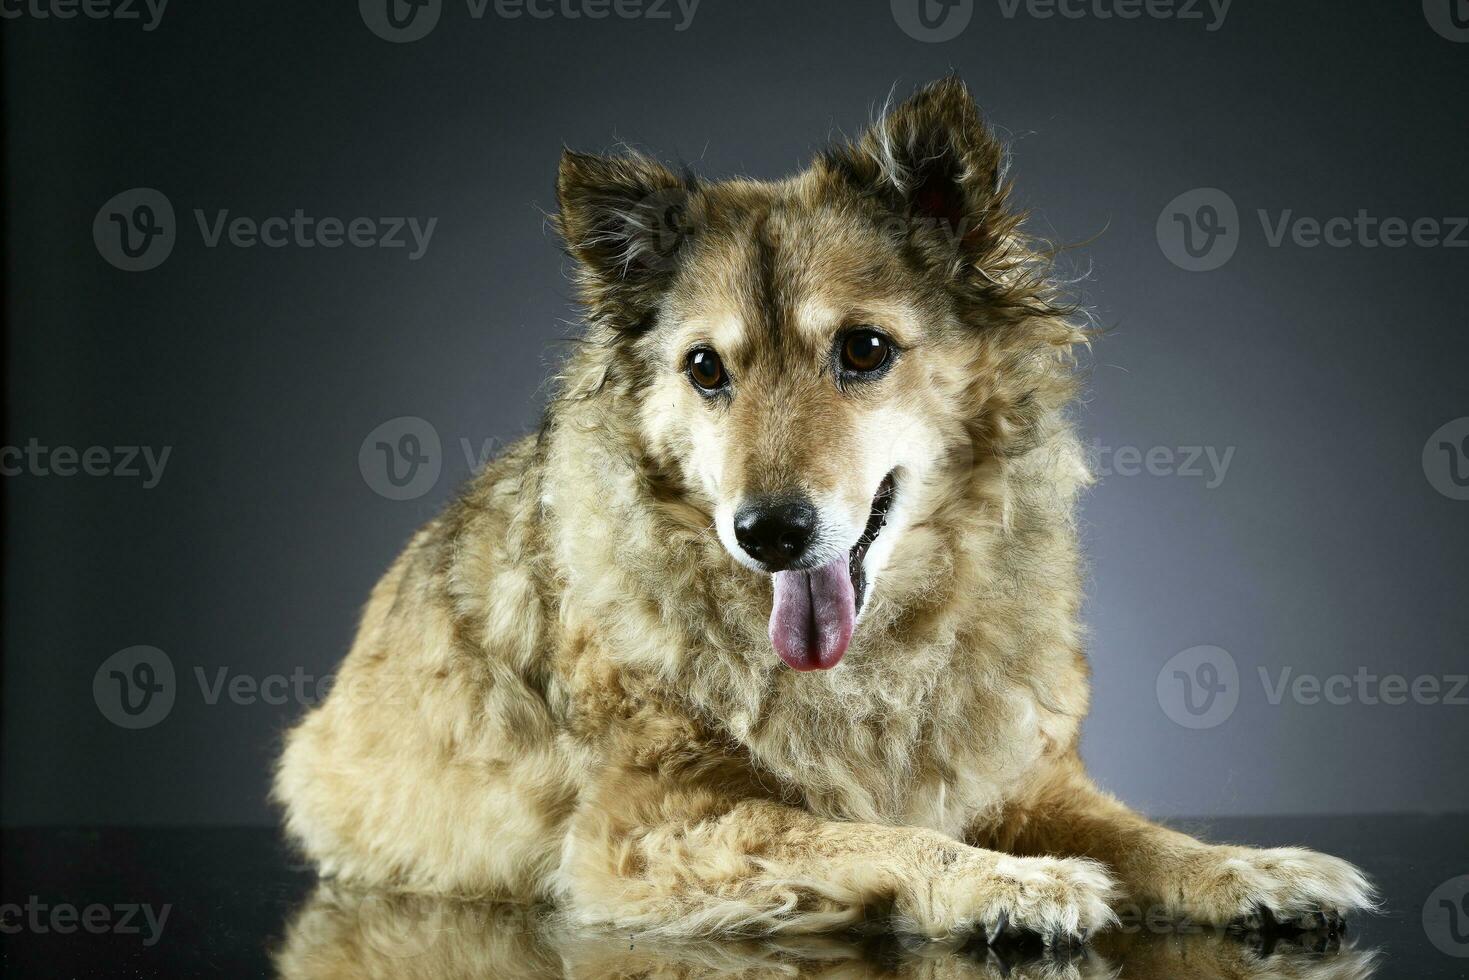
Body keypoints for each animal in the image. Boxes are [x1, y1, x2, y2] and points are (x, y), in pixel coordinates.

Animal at [276, 78, 1374, 952]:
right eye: (705, 368)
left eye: (862, 350)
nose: (769, 533)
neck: (871, 663)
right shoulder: (647, 831)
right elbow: (864, 830)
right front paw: (1002, 880)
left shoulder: (1028, 785)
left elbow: (1146, 837)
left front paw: (1249, 866)